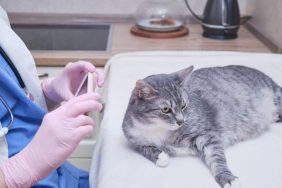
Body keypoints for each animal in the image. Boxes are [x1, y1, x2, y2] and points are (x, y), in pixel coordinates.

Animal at [121, 65, 282, 188]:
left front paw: (227, 178)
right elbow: (143, 148)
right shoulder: (133, 137)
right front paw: (160, 156)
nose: (181, 121)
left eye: (184, 105)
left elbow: (217, 158)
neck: (159, 130)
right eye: (165, 109)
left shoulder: (207, 135)